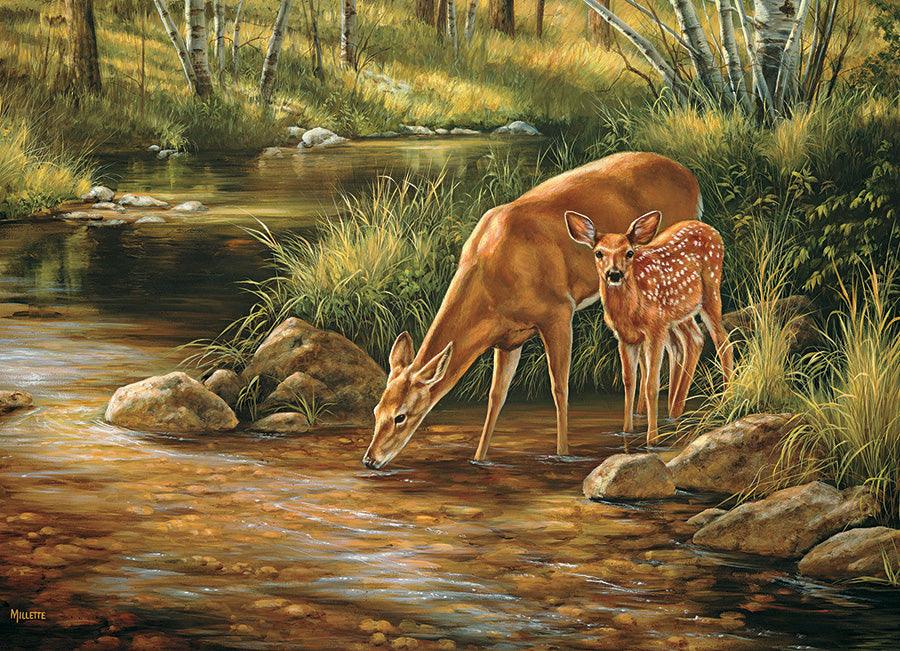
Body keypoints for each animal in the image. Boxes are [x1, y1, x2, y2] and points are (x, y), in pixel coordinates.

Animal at [362, 151, 704, 470]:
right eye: (376, 411)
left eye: (401, 416)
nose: (369, 460)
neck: (493, 274)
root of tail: (693, 180)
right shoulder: (508, 338)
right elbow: (496, 397)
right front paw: (479, 458)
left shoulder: (558, 311)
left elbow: (559, 388)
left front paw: (563, 453)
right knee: (675, 344)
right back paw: (658, 418)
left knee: (689, 338)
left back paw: (670, 419)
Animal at [565, 209, 732, 446]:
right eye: (599, 253)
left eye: (629, 253)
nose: (614, 274)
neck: (631, 310)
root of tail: (712, 230)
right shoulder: (624, 337)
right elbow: (629, 382)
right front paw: (626, 431)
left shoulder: (655, 328)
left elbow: (651, 385)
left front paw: (652, 440)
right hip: (680, 312)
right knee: (695, 339)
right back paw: (675, 412)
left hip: (710, 289)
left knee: (722, 341)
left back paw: (727, 400)